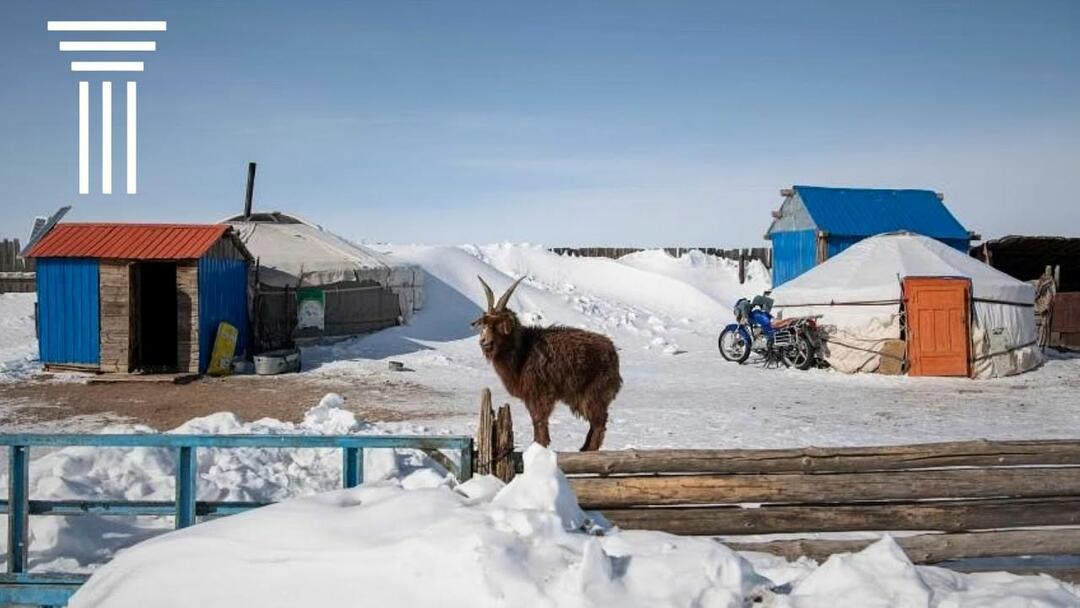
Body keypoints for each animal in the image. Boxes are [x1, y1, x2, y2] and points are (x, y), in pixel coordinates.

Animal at [473, 276, 626, 451]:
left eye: (499, 324)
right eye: (485, 324)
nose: (484, 342)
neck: (523, 350)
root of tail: (613, 351)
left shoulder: (540, 393)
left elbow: (539, 421)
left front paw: (539, 448)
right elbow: (536, 421)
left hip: (594, 393)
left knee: (599, 421)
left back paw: (588, 449)